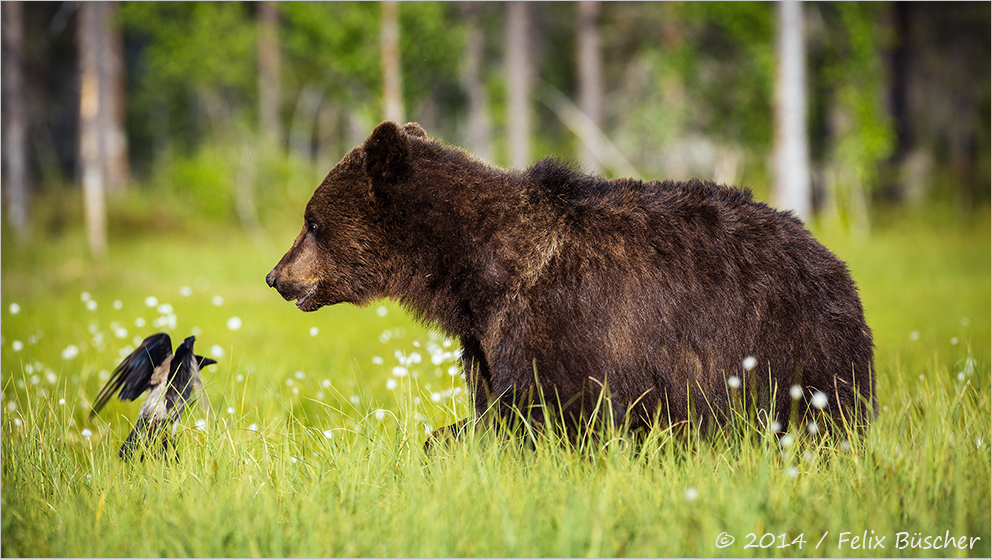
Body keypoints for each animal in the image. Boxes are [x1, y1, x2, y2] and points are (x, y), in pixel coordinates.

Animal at [266, 121, 876, 438]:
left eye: (312, 221)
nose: (276, 276)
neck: (472, 272)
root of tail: (832, 260)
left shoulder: (561, 320)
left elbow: (542, 410)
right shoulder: (487, 337)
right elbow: (492, 403)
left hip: (784, 341)